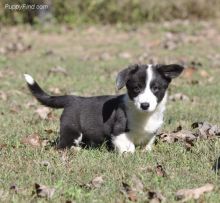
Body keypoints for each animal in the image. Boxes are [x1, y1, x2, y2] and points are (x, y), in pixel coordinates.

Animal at [24, 64, 183, 153]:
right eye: (136, 88)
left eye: (156, 88)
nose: (145, 105)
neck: (143, 116)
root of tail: (72, 98)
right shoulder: (118, 133)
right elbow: (129, 148)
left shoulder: (151, 133)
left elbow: (147, 145)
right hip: (72, 130)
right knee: (61, 146)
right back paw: (76, 150)